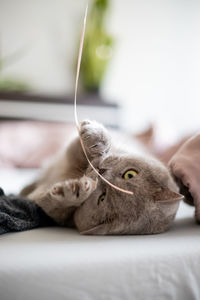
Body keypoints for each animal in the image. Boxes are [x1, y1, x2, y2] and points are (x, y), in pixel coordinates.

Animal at [20, 119, 183, 234]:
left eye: (102, 197)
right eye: (130, 174)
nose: (101, 171)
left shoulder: (55, 211)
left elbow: (51, 203)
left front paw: (74, 191)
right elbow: (87, 147)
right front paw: (95, 136)